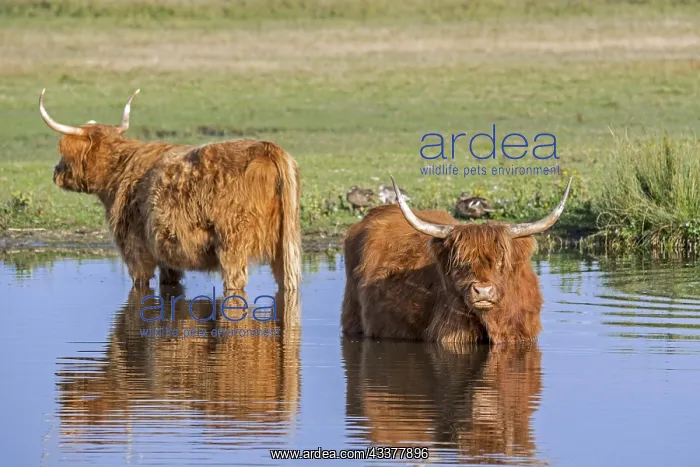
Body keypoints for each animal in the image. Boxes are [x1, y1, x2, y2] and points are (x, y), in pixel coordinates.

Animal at [39, 89, 301, 291]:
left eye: (64, 155)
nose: (55, 173)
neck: (119, 170)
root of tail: (266, 148)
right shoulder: (167, 253)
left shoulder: (135, 249)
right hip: (287, 244)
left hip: (232, 243)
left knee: (235, 281)